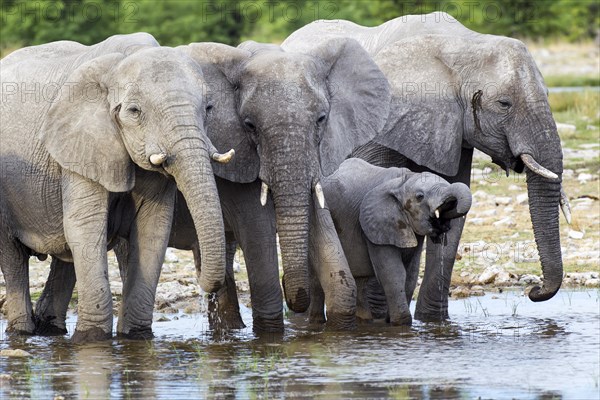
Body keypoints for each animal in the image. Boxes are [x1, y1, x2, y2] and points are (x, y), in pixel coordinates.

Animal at [0, 32, 230, 342]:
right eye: (134, 111)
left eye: (208, 108)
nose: (207, 286)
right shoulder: (80, 146)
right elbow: (86, 225)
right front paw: (92, 340)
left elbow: (152, 229)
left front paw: (136, 337)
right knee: (12, 254)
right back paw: (22, 332)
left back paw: (50, 330)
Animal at [310, 158, 474, 326]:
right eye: (420, 196)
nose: (442, 226)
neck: (402, 182)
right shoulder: (374, 226)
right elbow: (393, 272)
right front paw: (401, 323)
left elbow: (410, 274)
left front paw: (389, 322)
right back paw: (317, 322)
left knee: (360, 281)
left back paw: (364, 321)